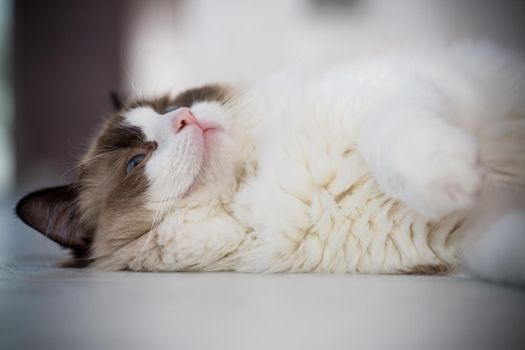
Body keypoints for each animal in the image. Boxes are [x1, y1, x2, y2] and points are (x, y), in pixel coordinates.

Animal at [15, 42, 524, 286]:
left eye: (174, 104)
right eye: (137, 162)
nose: (185, 118)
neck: (253, 178)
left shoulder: (395, 86)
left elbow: (394, 136)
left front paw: (451, 175)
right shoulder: (458, 238)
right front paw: (461, 181)